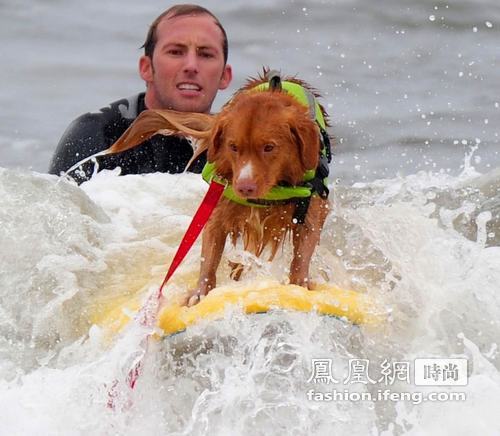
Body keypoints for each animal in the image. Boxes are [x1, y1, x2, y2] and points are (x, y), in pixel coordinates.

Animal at [105, 70, 330, 306]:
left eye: (269, 147)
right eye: (233, 147)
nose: (245, 187)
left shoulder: (312, 211)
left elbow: (301, 255)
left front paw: (299, 284)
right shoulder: (218, 206)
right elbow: (209, 256)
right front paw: (200, 292)